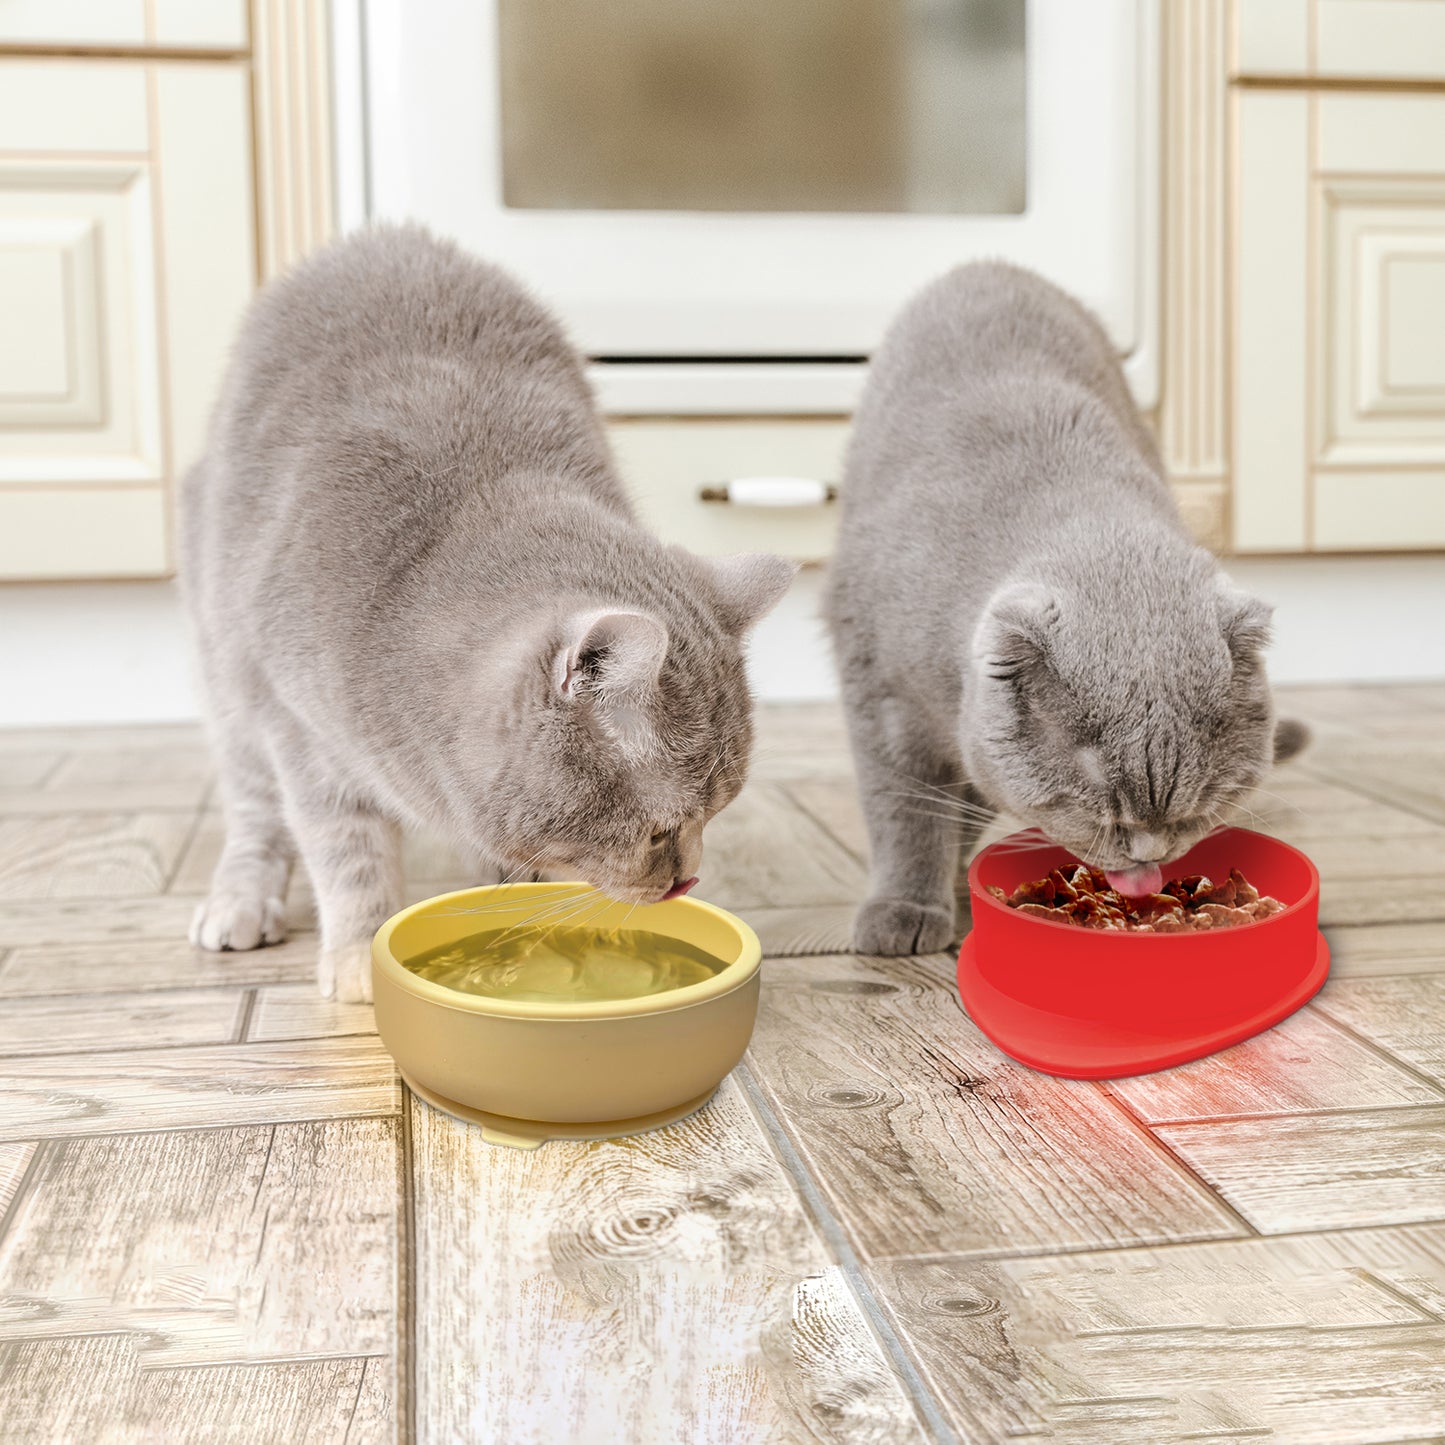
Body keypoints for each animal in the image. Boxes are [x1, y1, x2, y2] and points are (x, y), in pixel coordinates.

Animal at [183, 225, 791, 999]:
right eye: (660, 829)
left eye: (718, 813)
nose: (688, 882)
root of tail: (379, 236)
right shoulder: (306, 739)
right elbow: (349, 854)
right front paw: (357, 956)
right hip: (229, 678)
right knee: (253, 808)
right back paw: (240, 900)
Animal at [826, 264, 1312, 953]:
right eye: (1099, 797)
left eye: (1201, 799)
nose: (1148, 854)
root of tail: (991, 265)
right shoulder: (882, 690)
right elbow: (907, 804)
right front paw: (906, 906)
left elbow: (969, 792)